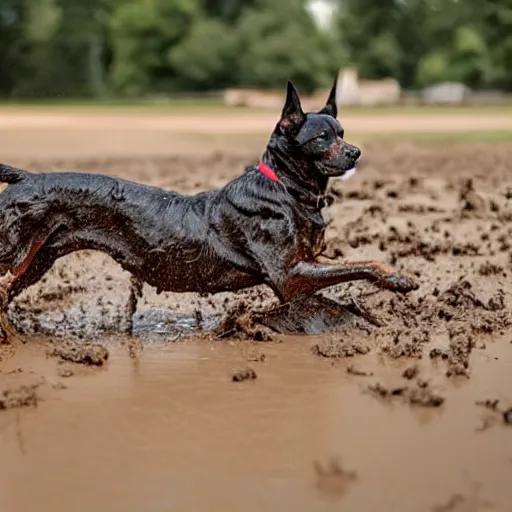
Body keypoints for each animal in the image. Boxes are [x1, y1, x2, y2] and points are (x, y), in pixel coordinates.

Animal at [0, 80, 418, 336]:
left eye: (343, 133)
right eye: (322, 137)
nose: (356, 152)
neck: (285, 188)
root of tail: (25, 177)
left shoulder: (307, 259)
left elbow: (350, 268)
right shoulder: (288, 275)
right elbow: (355, 268)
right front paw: (390, 285)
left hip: (36, 260)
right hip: (12, 250)